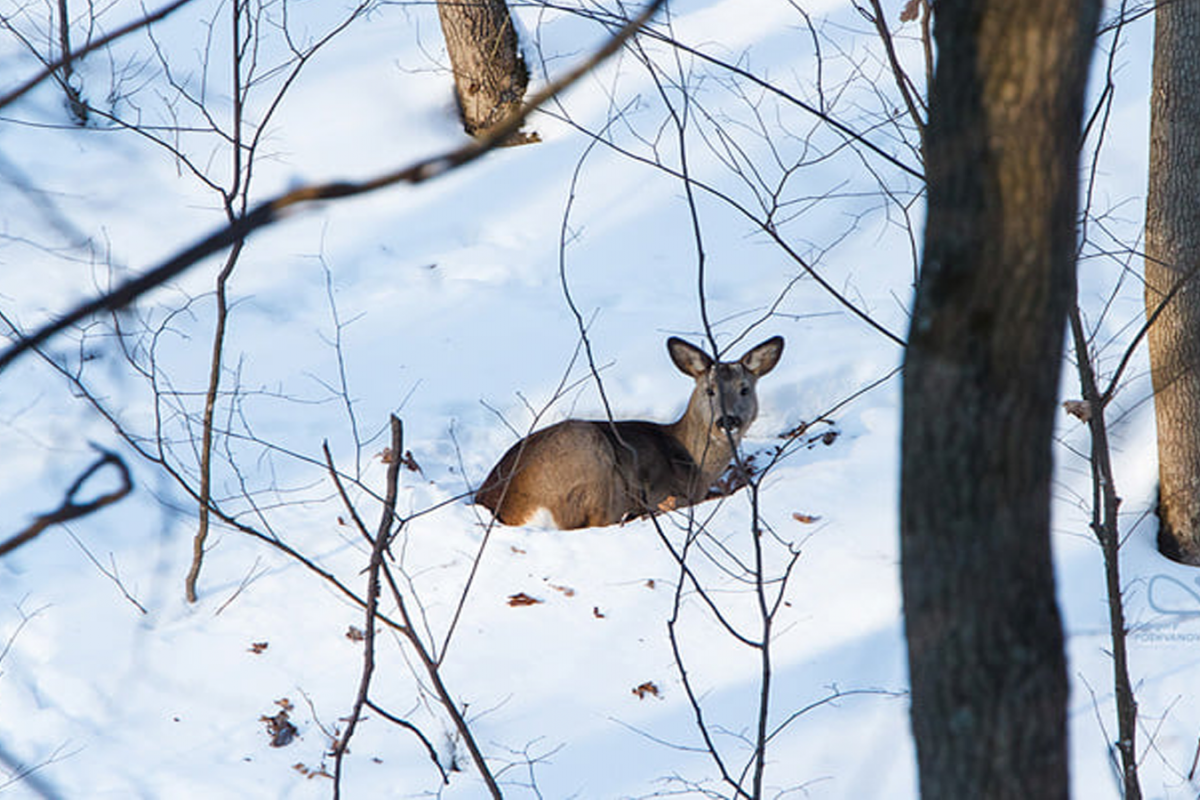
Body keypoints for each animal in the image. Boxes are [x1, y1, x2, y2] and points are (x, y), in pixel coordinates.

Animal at [472, 335, 782, 527]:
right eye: (710, 390)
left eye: (744, 389)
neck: (694, 462)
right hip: (592, 459)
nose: (727, 421)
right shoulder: (664, 490)